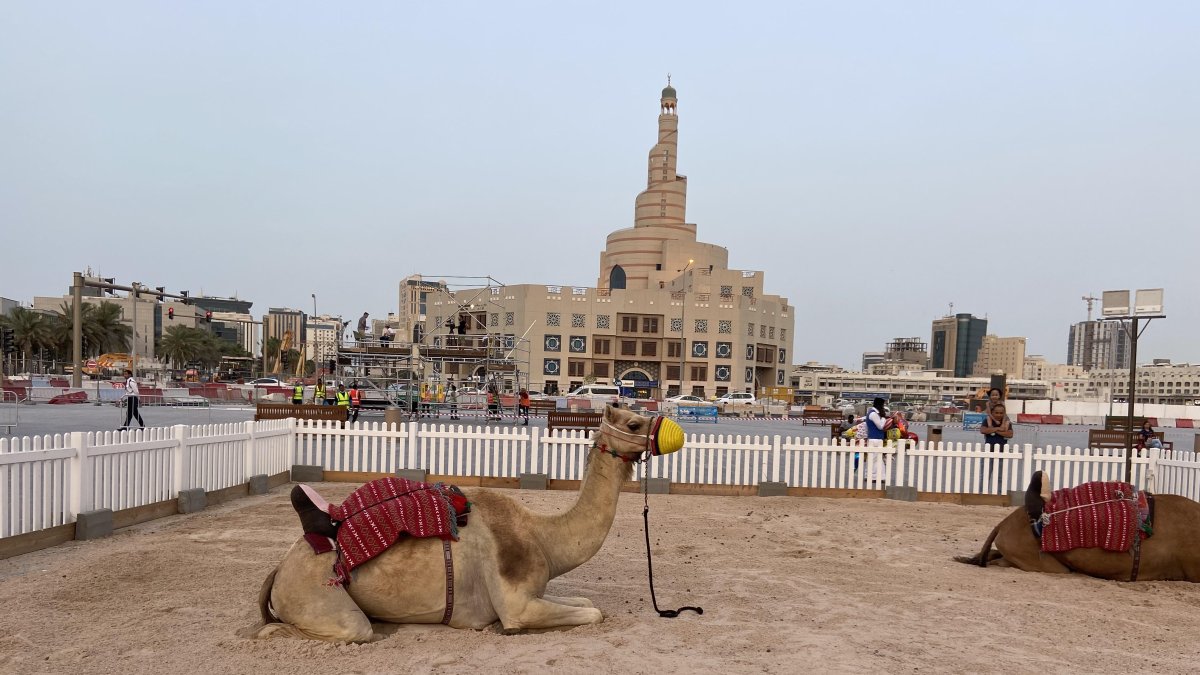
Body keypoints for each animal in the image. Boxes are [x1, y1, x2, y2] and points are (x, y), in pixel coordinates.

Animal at [252, 405, 685, 641]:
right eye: (633, 423)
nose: (671, 430)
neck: (544, 538)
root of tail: (278, 570)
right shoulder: (516, 605)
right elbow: (592, 613)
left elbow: (589, 603)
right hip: (319, 596)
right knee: (328, 628)